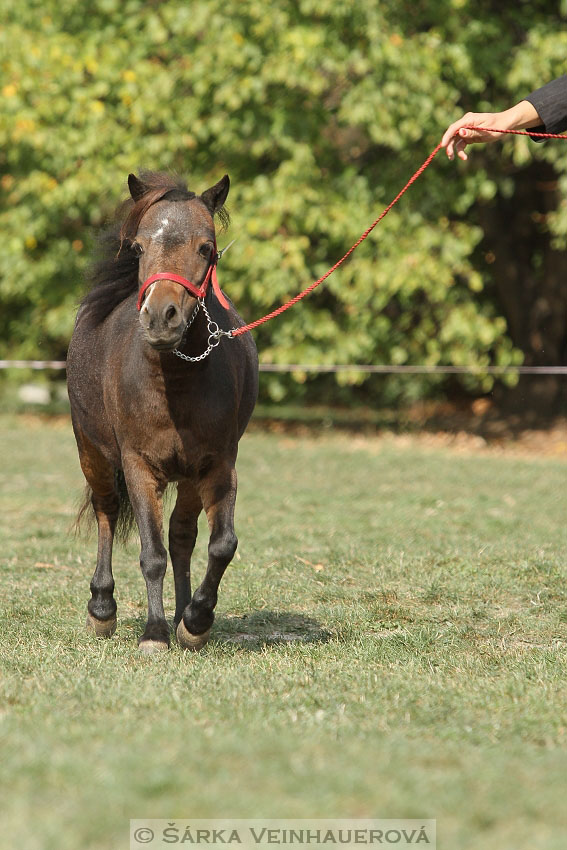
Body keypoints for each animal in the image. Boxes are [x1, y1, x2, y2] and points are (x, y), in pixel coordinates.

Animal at [67, 171, 260, 648]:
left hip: (188, 478)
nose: (160, 317)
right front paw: (153, 633)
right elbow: (150, 553)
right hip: (92, 453)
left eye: (207, 248)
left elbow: (220, 544)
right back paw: (102, 609)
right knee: (105, 512)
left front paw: (195, 621)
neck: (175, 382)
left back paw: (182, 612)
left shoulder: (217, 465)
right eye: (137, 248)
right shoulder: (139, 466)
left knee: (182, 535)